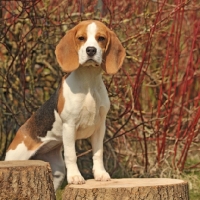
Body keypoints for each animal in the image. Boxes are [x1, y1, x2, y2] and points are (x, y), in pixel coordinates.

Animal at [4, 20, 125, 191]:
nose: (91, 50)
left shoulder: (100, 126)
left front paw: (100, 174)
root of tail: (21, 130)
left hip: (57, 172)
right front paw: (75, 177)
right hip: (17, 156)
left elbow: (98, 152)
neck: (89, 81)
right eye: (81, 38)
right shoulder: (69, 125)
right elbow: (71, 154)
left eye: (101, 38)